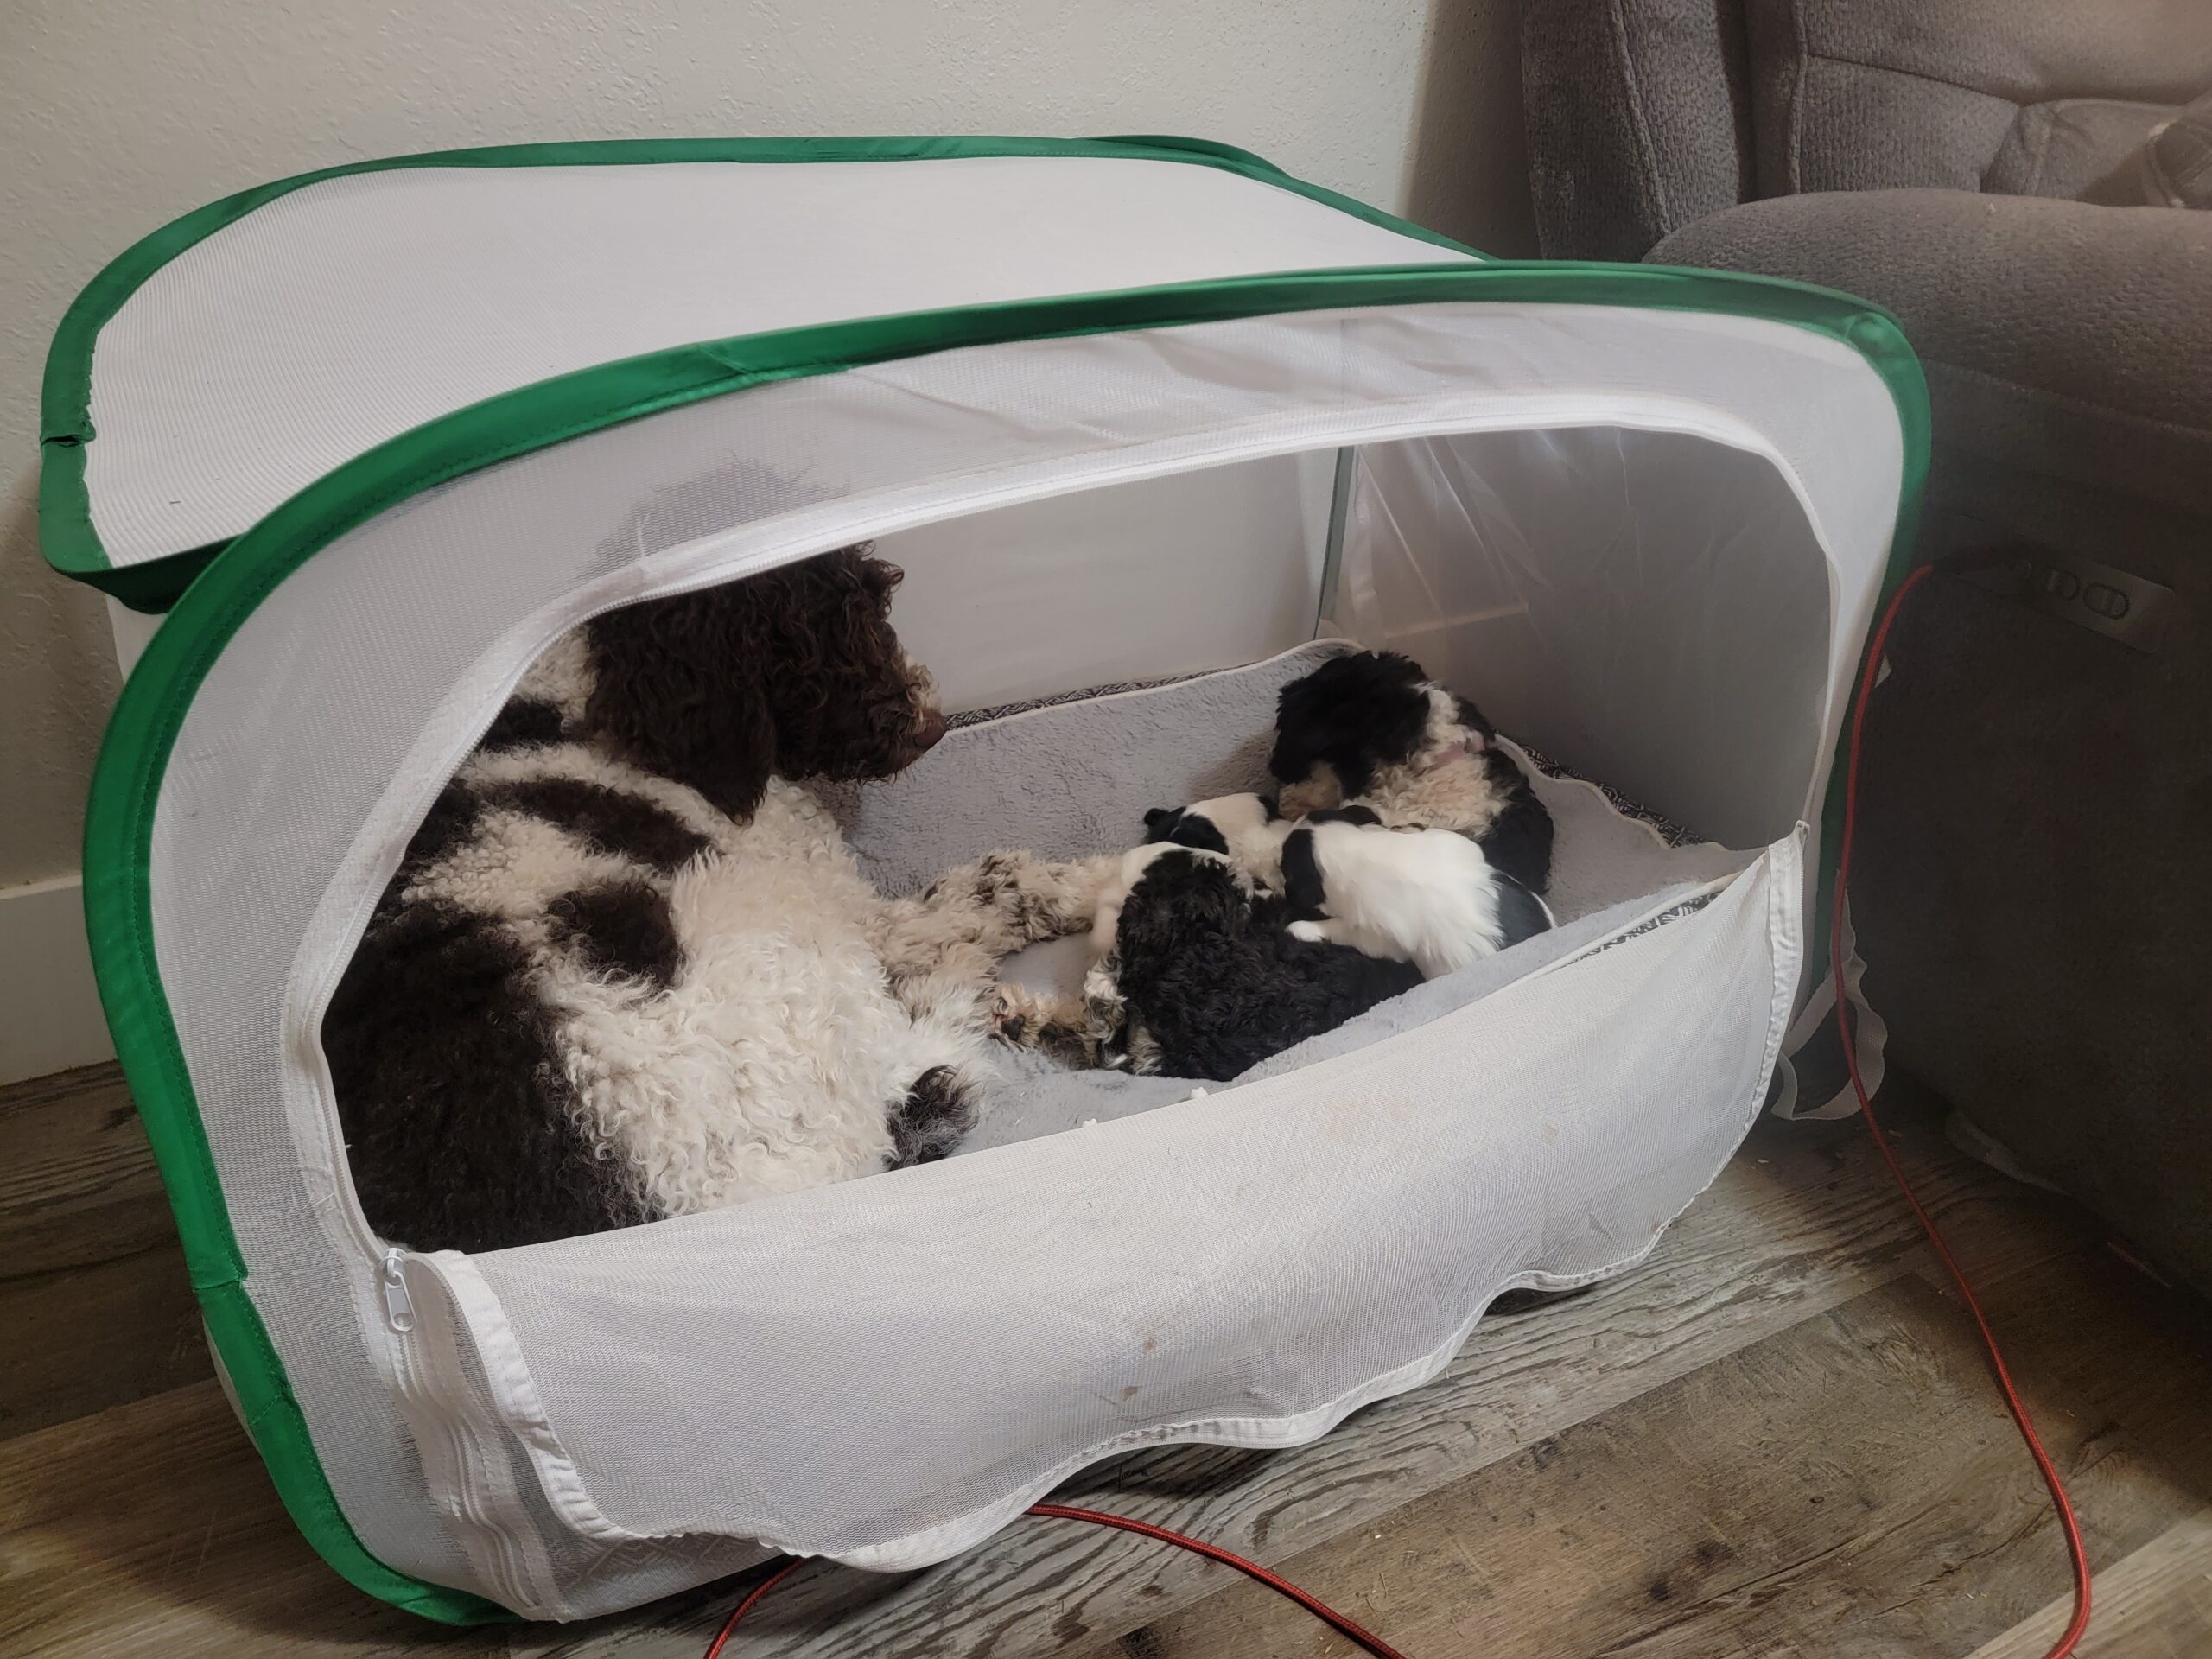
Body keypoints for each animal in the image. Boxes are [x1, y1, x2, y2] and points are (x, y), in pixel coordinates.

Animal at [325, 553, 1106, 1256]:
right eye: (808, 638)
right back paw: (962, 989)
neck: (581, 701)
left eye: (873, 603)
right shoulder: (831, 895)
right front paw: (1079, 886)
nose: (931, 723)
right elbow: (982, 892)